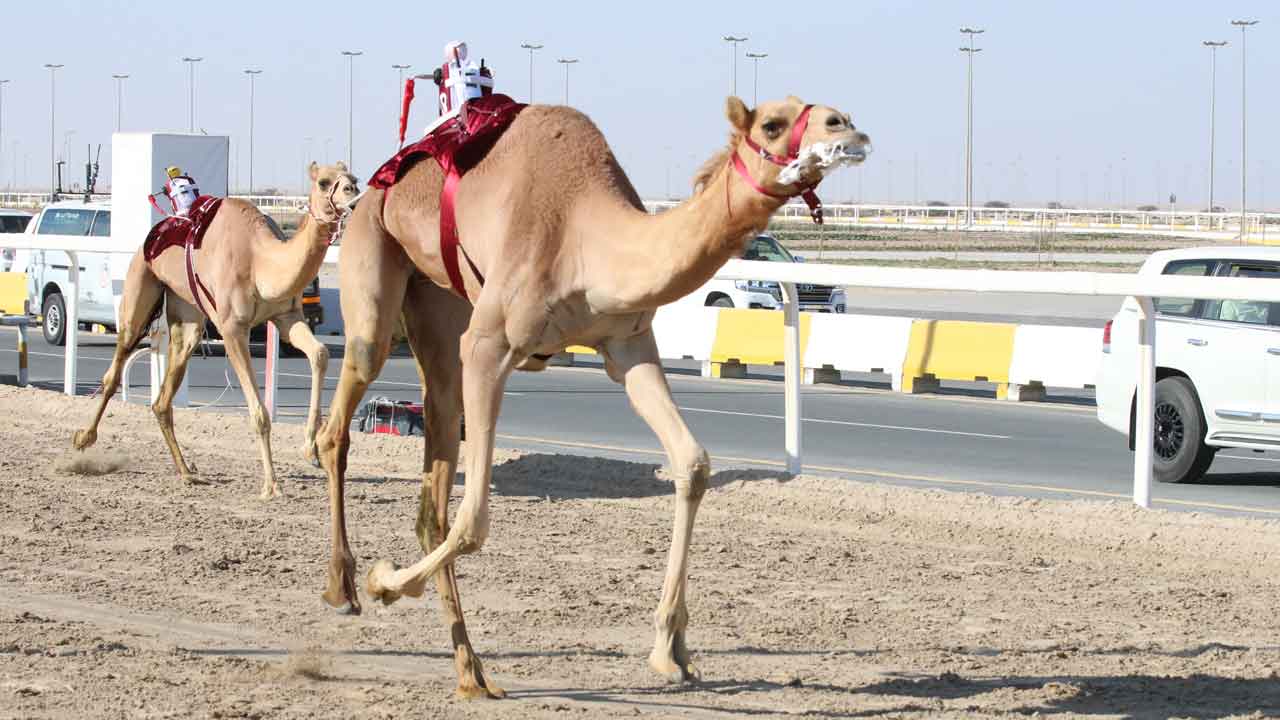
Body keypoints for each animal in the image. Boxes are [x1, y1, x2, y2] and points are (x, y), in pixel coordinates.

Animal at [73, 162, 359, 499]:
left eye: (354, 179)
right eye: (324, 182)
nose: (354, 196)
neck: (261, 260)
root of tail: (152, 236)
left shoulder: (286, 316)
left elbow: (320, 353)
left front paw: (310, 450)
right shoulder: (233, 328)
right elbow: (259, 413)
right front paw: (271, 485)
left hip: (187, 313)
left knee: (163, 397)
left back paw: (187, 472)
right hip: (138, 290)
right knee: (114, 371)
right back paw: (83, 439)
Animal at [313, 95, 869, 697]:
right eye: (771, 124)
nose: (848, 129)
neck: (585, 235)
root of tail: (375, 185)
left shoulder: (628, 345)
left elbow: (693, 463)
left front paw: (670, 650)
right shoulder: (488, 345)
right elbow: (476, 518)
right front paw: (382, 581)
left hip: (439, 310)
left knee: (430, 498)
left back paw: (471, 672)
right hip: (375, 269)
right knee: (339, 427)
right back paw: (346, 587)